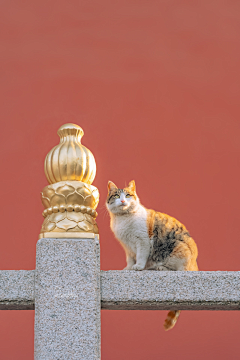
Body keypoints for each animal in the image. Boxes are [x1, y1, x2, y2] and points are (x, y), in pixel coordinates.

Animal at [106, 181, 198, 330]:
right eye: (116, 195)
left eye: (128, 195)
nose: (123, 200)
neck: (123, 220)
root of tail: (195, 264)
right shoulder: (127, 247)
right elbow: (130, 259)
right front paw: (128, 268)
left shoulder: (142, 241)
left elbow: (141, 256)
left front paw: (138, 267)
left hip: (177, 249)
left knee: (179, 270)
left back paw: (159, 268)